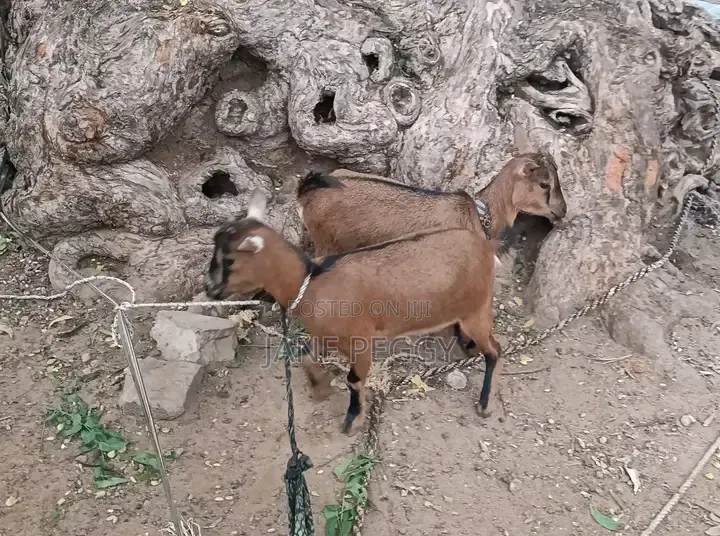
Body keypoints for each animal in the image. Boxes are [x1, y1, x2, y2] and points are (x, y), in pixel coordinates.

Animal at [205, 189, 503, 435]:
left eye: (229, 260)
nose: (210, 288)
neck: (312, 282)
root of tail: (484, 247)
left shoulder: (360, 341)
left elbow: (354, 380)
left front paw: (352, 420)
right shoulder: (324, 335)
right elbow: (306, 358)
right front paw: (321, 387)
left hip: (476, 309)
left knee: (494, 350)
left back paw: (484, 403)